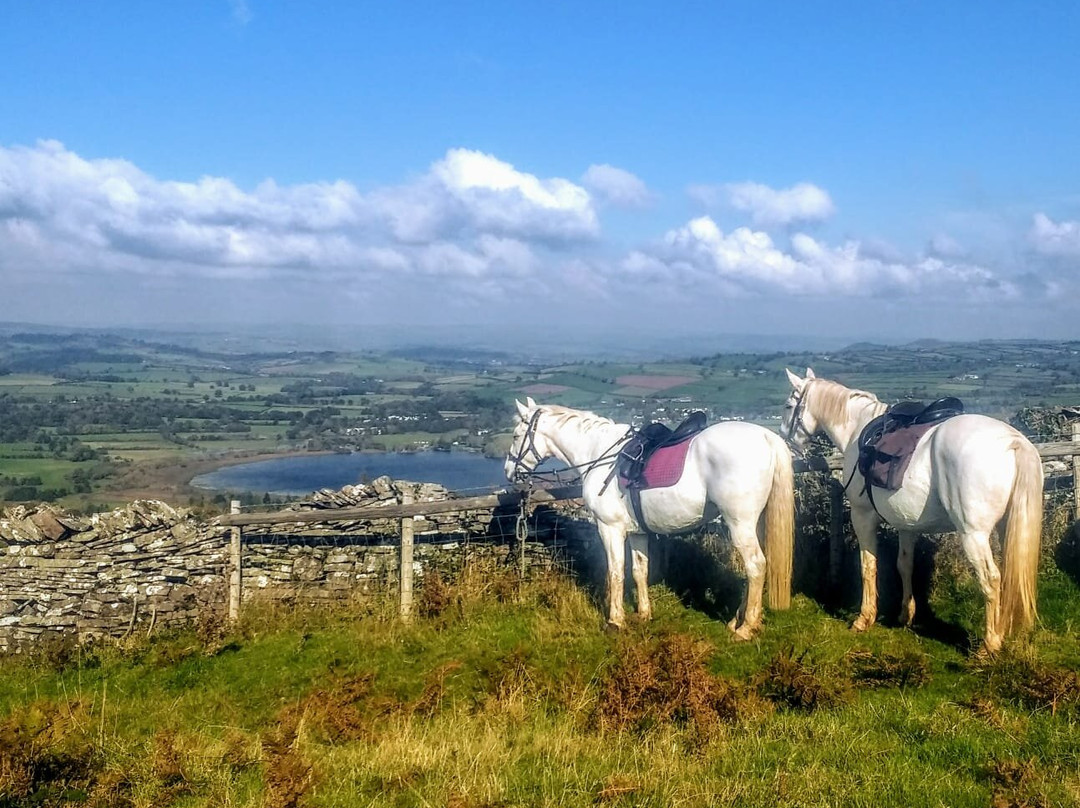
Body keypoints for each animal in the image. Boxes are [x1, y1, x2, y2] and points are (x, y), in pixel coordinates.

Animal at [503, 397, 794, 639]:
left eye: (516, 435)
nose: (508, 471)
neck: (599, 454)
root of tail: (767, 437)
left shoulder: (609, 528)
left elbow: (615, 572)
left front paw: (615, 621)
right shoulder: (637, 532)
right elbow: (639, 570)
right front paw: (643, 614)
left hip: (739, 524)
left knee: (756, 566)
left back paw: (746, 628)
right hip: (753, 524)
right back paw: (737, 621)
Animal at [781, 369, 1041, 652]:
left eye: (788, 406)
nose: (786, 445)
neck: (856, 430)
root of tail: (1012, 442)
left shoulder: (862, 516)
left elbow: (868, 565)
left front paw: (864, 618)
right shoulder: (906, 524)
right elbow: (904, 564)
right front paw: (906, 614)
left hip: (974, 535)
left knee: (991, 579)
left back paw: (990, 644)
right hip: (1008, 529)